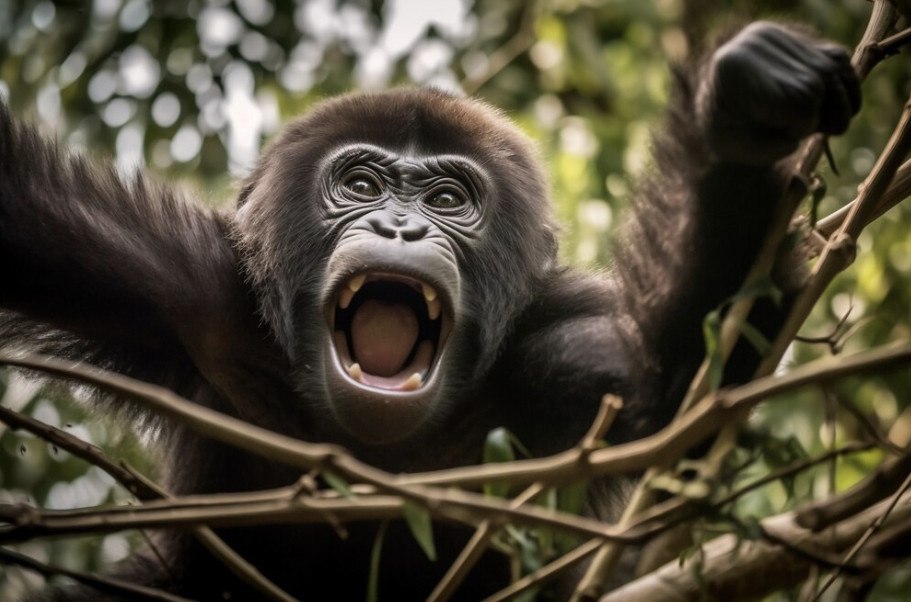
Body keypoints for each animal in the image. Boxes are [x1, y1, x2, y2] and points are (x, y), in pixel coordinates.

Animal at [0, 21, 860, 596]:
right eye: (362, 185)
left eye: (447, 200)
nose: (400, 226)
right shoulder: (174, 284)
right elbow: (26, 217)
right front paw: (746, 110)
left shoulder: (573, 361)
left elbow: (675, 378)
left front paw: (740, 120)